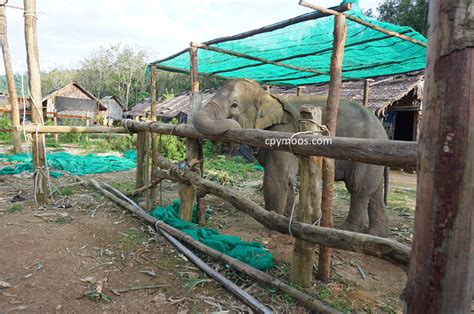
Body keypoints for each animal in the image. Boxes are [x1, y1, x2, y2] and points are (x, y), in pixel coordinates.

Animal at [193, 79, 388, 238]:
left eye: (234, 105)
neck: (267, 96)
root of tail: (384, 131)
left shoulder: (284, 133)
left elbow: (276, 178)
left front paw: (268, 231)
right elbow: (287, 180)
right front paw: (287, 220)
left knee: (358, 188)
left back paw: (347, 231)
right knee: (374, 191)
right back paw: (376, 234)